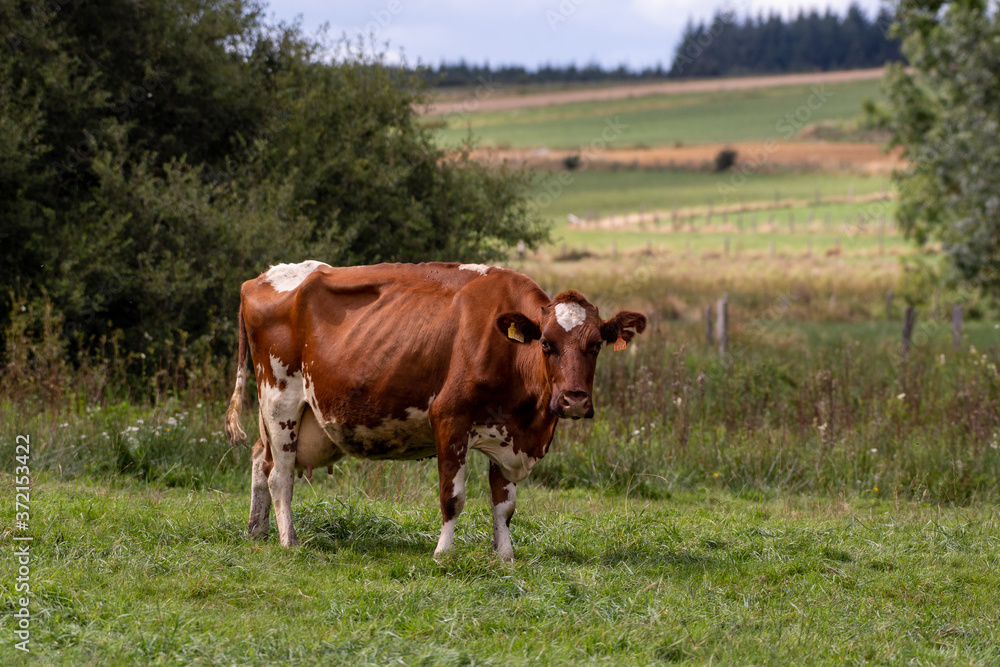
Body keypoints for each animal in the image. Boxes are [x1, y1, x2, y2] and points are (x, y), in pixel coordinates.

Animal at [225, 258, 648, 560]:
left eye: (595, 344)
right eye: (546, 343)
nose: (574, 400)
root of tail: (256, 280)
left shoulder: (508, 433)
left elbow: (504, 504)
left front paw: (504, 556)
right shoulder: (449, 418)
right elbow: (453, 495)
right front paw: (444, 553)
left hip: (281, 415)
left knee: (259, 460)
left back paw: (257, 531)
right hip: (280, 399)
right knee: (280, 476)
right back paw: (288, 540)